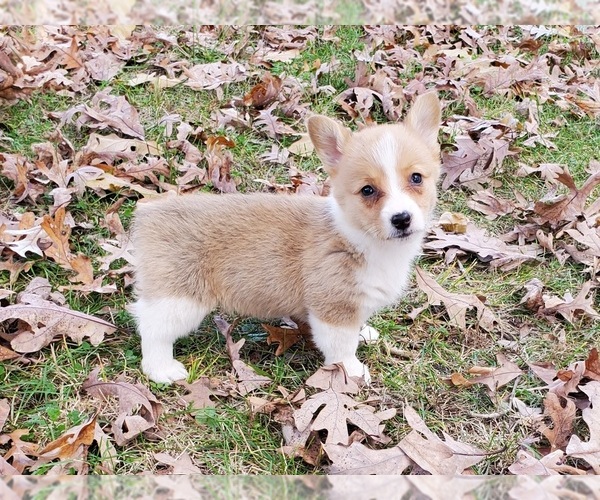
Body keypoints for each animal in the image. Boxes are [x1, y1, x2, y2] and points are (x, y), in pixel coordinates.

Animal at [131, 92, 440, 384]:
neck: (362, 237)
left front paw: (364, 333)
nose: (402, 219)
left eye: (416, 178)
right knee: (152, 328)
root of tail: (149, 214)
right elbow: (341, 347)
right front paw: (352, 371)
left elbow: (356, 326)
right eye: (367, 190)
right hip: (181, 300)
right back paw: (161, 369)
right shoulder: (332, 307)